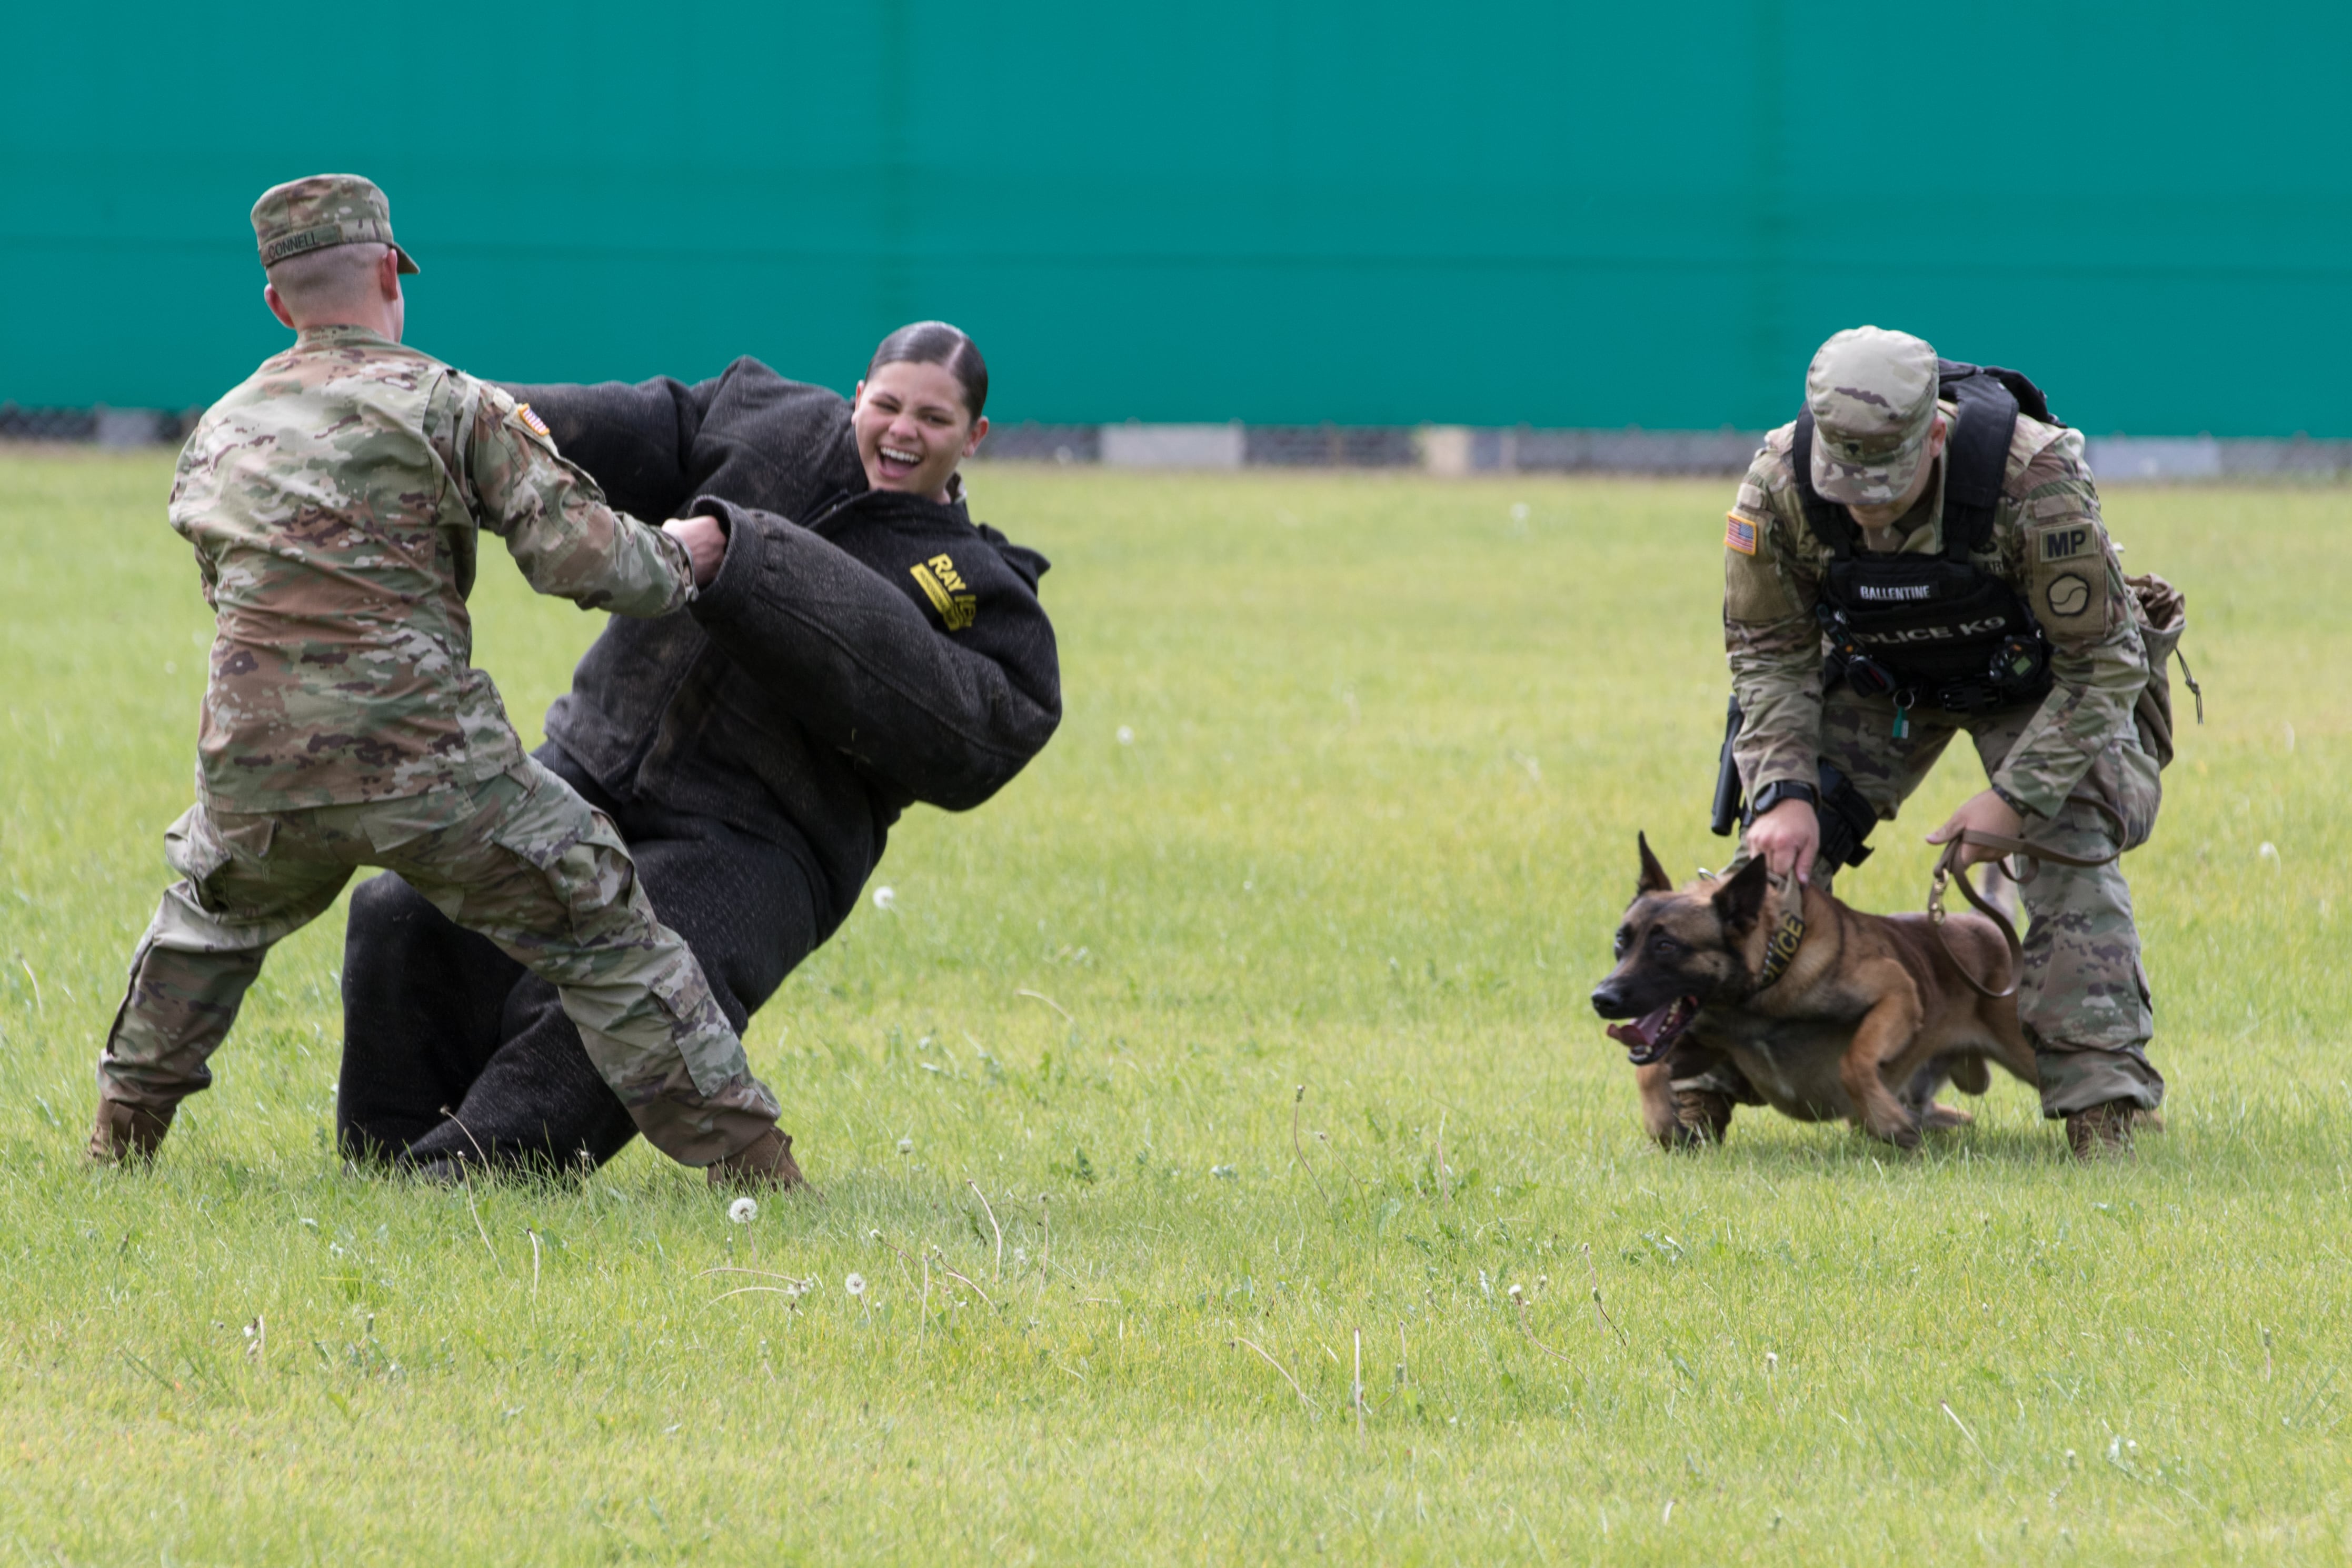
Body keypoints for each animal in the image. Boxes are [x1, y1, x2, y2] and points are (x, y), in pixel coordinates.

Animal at [1599, 832, 2041, 1152]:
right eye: (1621, 940)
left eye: (1666, 946)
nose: (1602, 998)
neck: (1767, 981)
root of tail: (1981, 925)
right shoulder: (1702, 1047)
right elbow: (1648, 1069)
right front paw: (1662, 1122)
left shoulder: (1897, 991)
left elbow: (1855, 1061)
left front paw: (1886, 1121)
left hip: (2026, 1053)